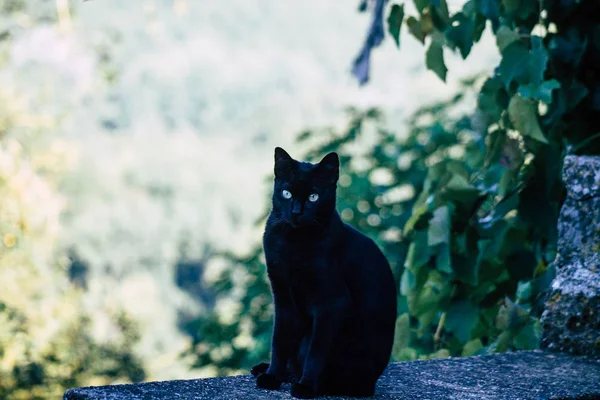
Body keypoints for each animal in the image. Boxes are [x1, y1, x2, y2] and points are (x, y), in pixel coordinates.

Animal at [253, 148, 398, 398]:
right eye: (287, 193)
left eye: (314, 197)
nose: (296, 211)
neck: (293, 242)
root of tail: (370, 385)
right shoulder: (282, 296)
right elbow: (279, 340)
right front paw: (272, 376)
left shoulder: (332, 304)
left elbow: (316, 351)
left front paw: (306, 386)